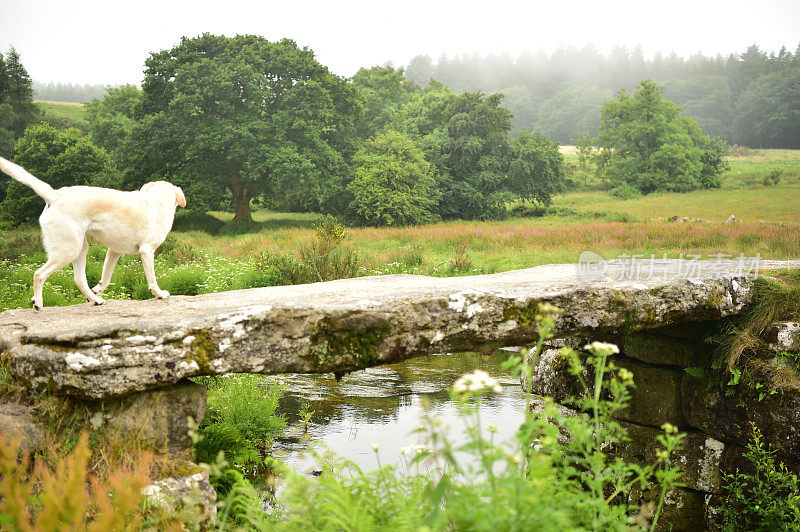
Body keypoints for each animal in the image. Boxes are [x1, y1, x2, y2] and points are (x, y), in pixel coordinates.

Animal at [0, 156, 186, 310]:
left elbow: (106, 277)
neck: (157, 200)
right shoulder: (147, 251)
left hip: (80, 248)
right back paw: (38, 303)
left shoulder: (113, 252)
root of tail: (55, 195)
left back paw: (95, 299)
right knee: (39, 274)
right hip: (67, 251)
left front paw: (97, 290)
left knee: (79, 279)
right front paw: (160, 294)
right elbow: (152, 279)